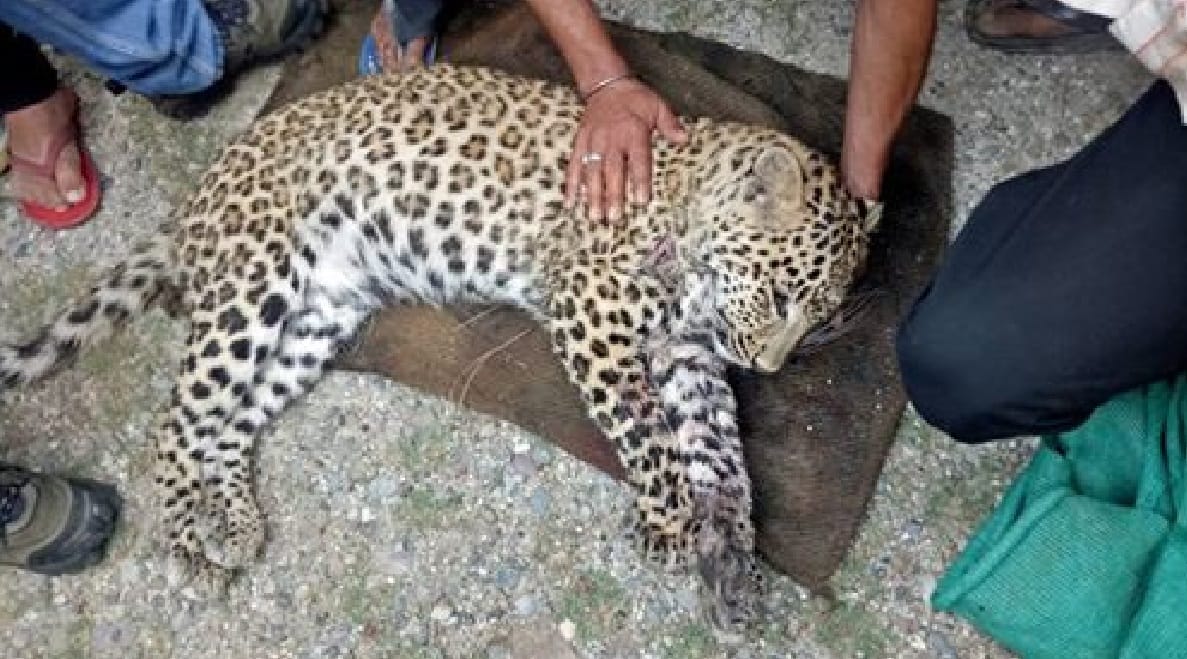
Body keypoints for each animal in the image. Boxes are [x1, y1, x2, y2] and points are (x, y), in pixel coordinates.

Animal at [0, 63, 879, 629]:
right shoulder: (591, 318)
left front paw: (733, 572)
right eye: (780, 296)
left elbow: (725, 465)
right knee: (177, 425)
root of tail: (197, 199)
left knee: (230, 424)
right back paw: (190, 550)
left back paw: (239, 523)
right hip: (252, 287)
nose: (763, 365)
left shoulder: (685, 360)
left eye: (819, 318)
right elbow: (652, 440)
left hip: (314, 315)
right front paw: (664, 528)